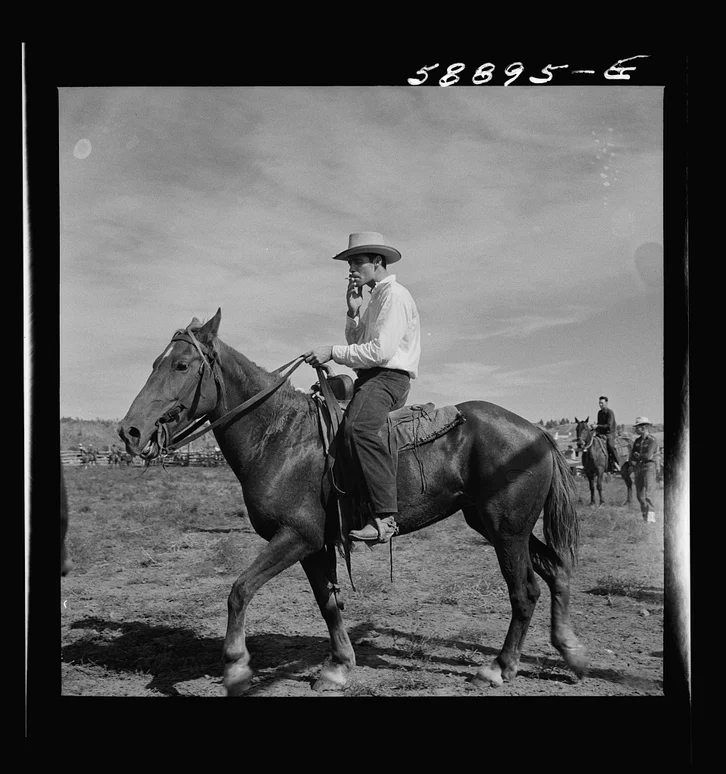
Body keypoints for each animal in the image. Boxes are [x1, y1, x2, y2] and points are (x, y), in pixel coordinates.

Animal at [118, 310, 584, 696]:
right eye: (155, 363)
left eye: (181, 365)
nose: (130, 431)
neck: (279, 435)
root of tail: (539, 434)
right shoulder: (316, 546)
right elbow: (328, 604)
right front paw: (338, 666)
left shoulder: (296, 537)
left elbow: (239, 589)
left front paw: (235, 668)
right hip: (497, 525)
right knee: (557, 569)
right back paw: (571, 652)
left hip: (507, 530)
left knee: (525, 591)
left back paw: (498, 668)